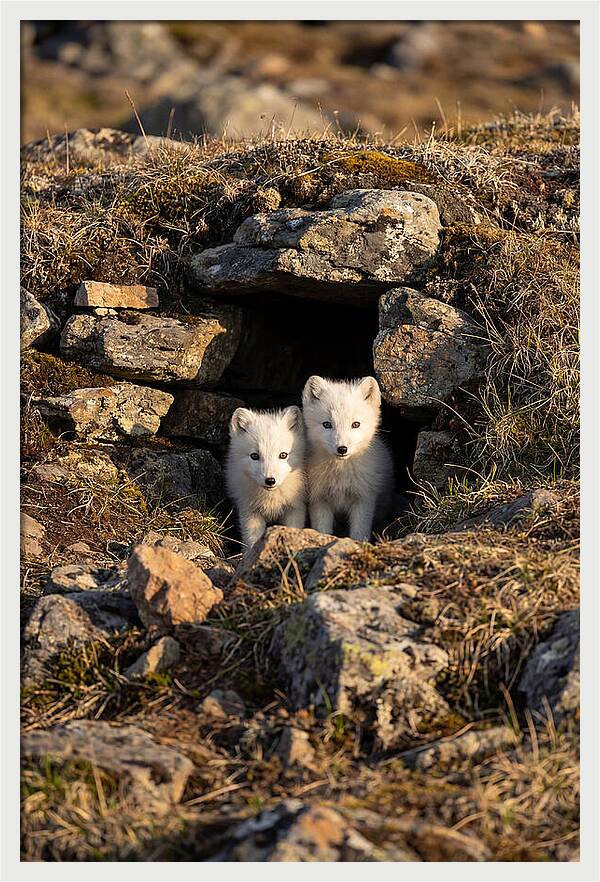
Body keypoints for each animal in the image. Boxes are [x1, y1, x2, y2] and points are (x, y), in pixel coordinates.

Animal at [226, 405, 307, 549]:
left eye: (283, 455)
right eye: (254, 456)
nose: (270, 480)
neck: (271, 499)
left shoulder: (296, 508)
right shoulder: (250, 512)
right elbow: (251, 541)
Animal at [302, 375, 394, 541]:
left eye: (355, 424)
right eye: (327, 424)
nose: (342, 449)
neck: (340, 475)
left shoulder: (364, 499)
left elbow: (359, 532)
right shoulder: (318, 499)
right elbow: (323, 530)